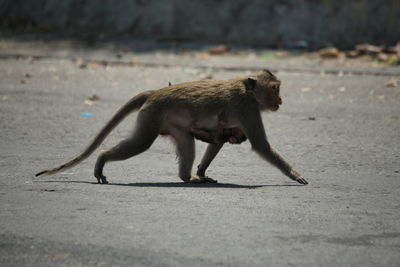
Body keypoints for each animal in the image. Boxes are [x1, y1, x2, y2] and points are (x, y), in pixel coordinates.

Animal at [36, 70, 308, 185]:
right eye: (275, 88)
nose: (281, 100)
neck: (247, 90)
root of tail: (156, 91)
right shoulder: (247, 109)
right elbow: (260, 145)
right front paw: (294, 174)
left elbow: (219, 140)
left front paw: (202, 171)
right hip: (152, 116)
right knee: (141, 143)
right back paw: (102, 159)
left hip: (170, 124)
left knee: (187, 143)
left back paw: (188, 178)